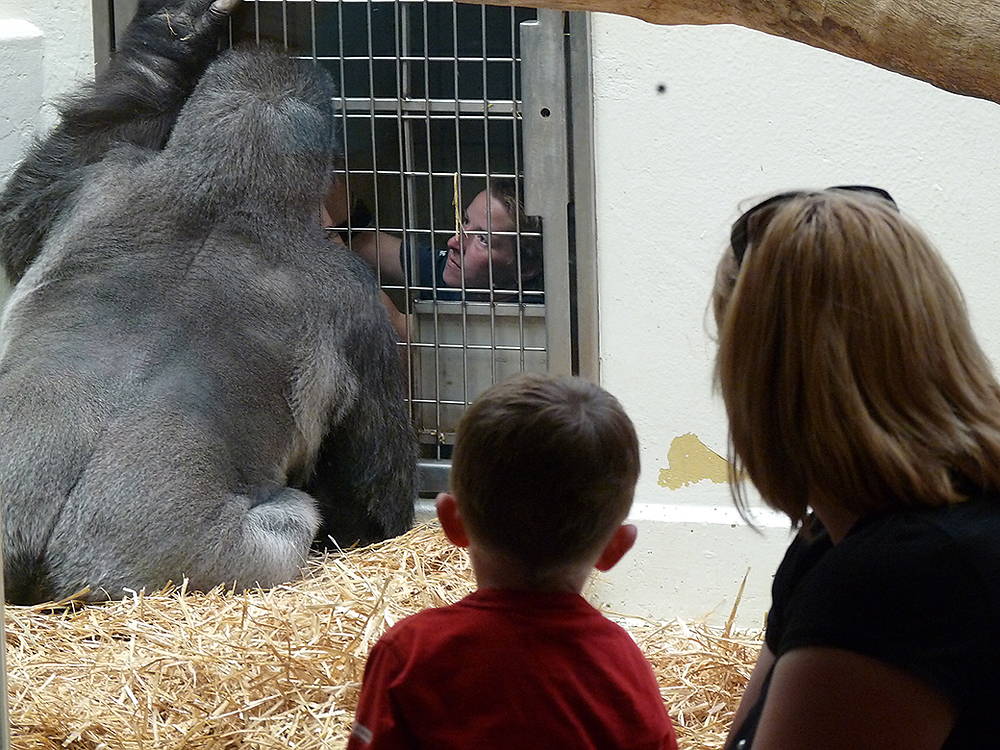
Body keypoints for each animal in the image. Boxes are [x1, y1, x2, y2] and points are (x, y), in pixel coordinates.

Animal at [0, 0, 416, 604]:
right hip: (176, 566)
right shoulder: (358, 309)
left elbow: (18, 214)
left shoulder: (102, 179)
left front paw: (175, 32)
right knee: (292, 520)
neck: (225, 192)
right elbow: (372, 505)